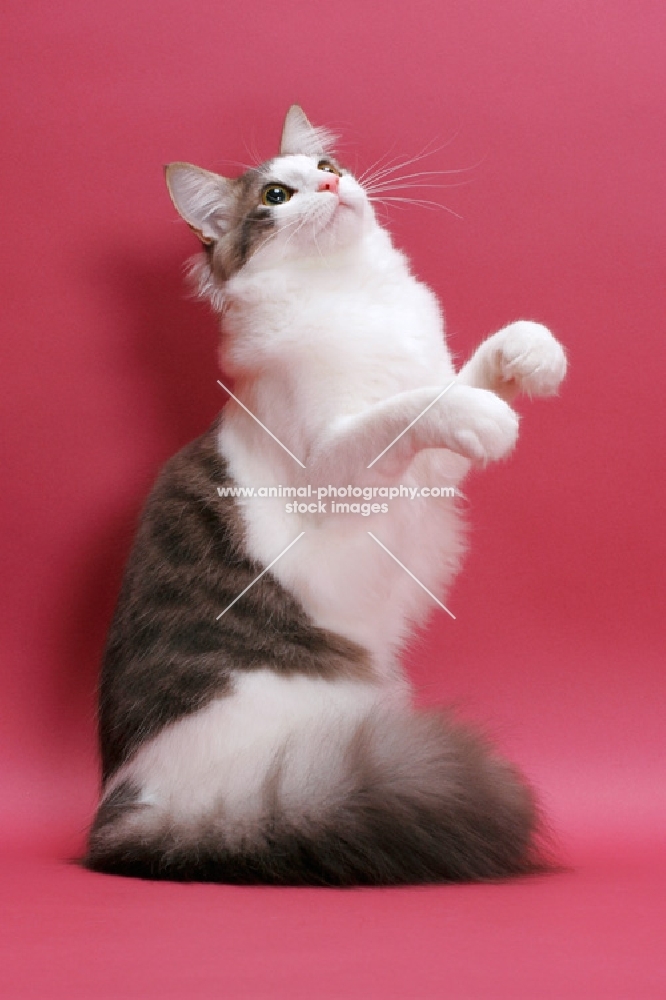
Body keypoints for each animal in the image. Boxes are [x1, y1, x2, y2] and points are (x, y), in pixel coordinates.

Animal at [85, 103, 564, 884]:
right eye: (277, 196)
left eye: (326, 168)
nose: (334, 186)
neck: (350, 296)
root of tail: (124, 813)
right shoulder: (333, 472)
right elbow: (419, 405)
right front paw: (488, 415)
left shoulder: (429, 475)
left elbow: (465, 373)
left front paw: (530, 352)